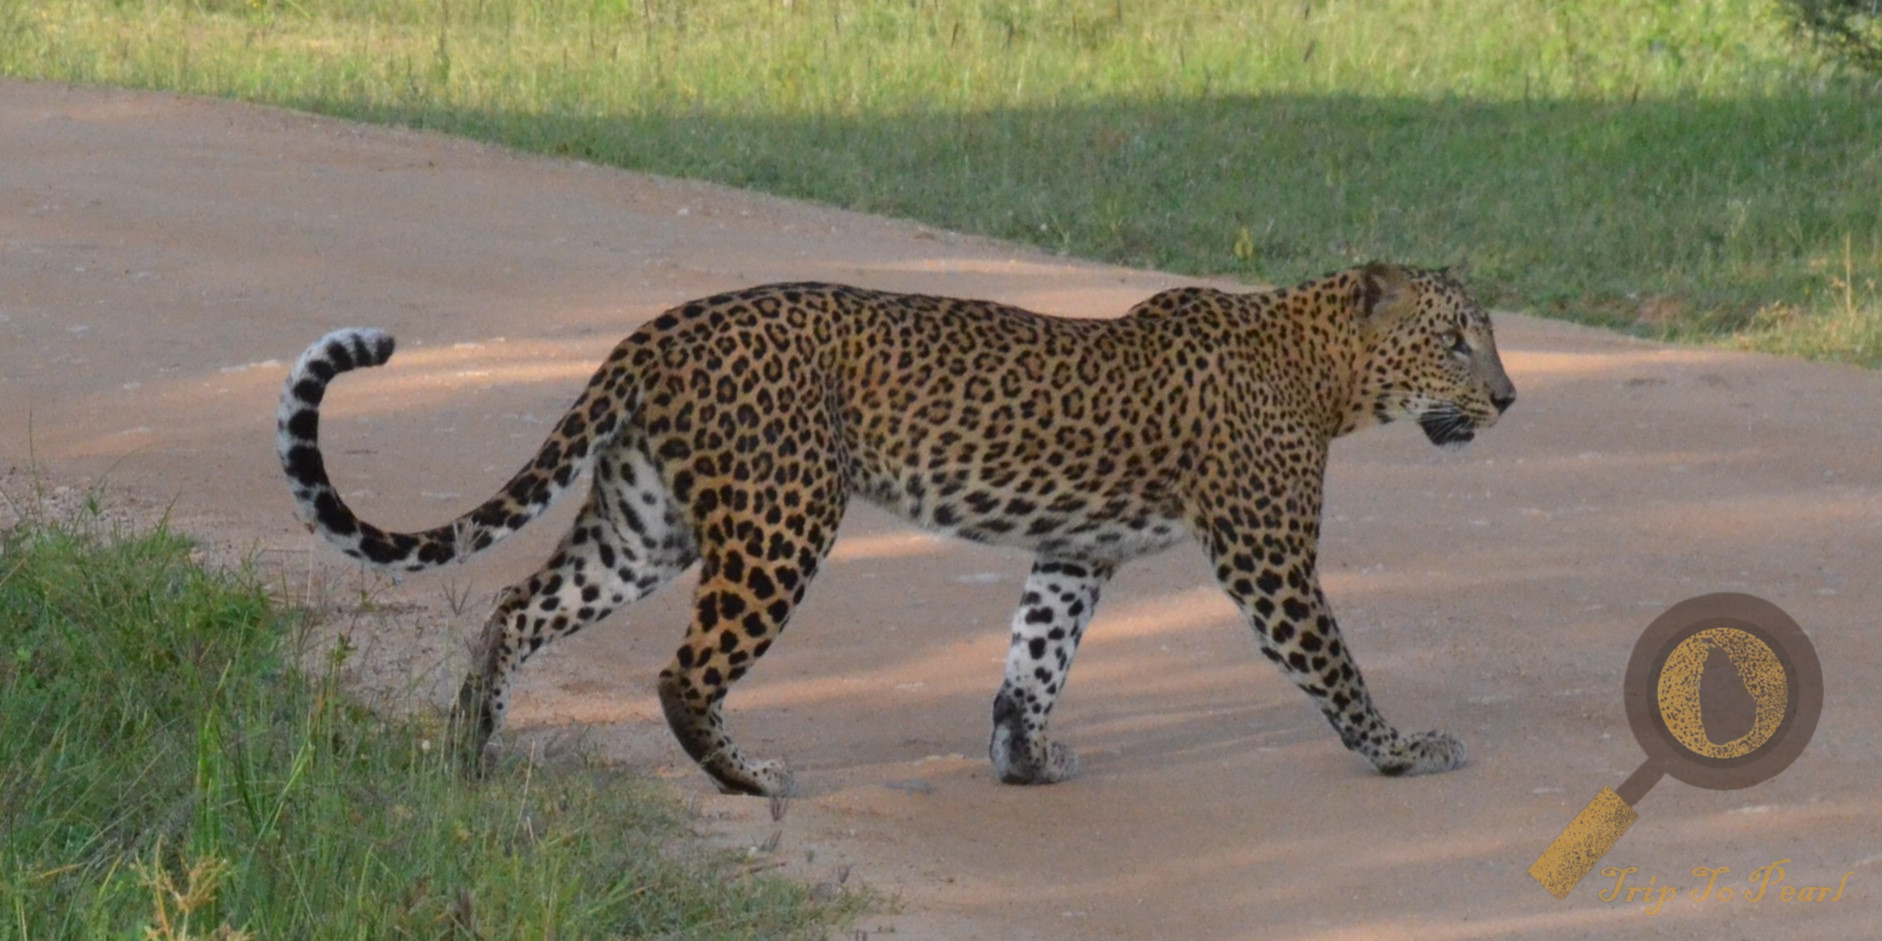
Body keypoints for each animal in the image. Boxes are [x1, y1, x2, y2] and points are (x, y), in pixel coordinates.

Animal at [277, 262, 1516, 797]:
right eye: (1457, 338)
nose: (1509, 397)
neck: (1325, 372)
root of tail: (661, 324)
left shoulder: (1075, 550)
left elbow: (1034, 656)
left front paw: (1024, 758)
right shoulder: (1269, 559)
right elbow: (1336, 667)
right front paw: (1402, 748)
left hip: (642, 522)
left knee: (519, 602)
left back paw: (469, 746)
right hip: (779, 518)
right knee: (684, 668)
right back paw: (747, 777)